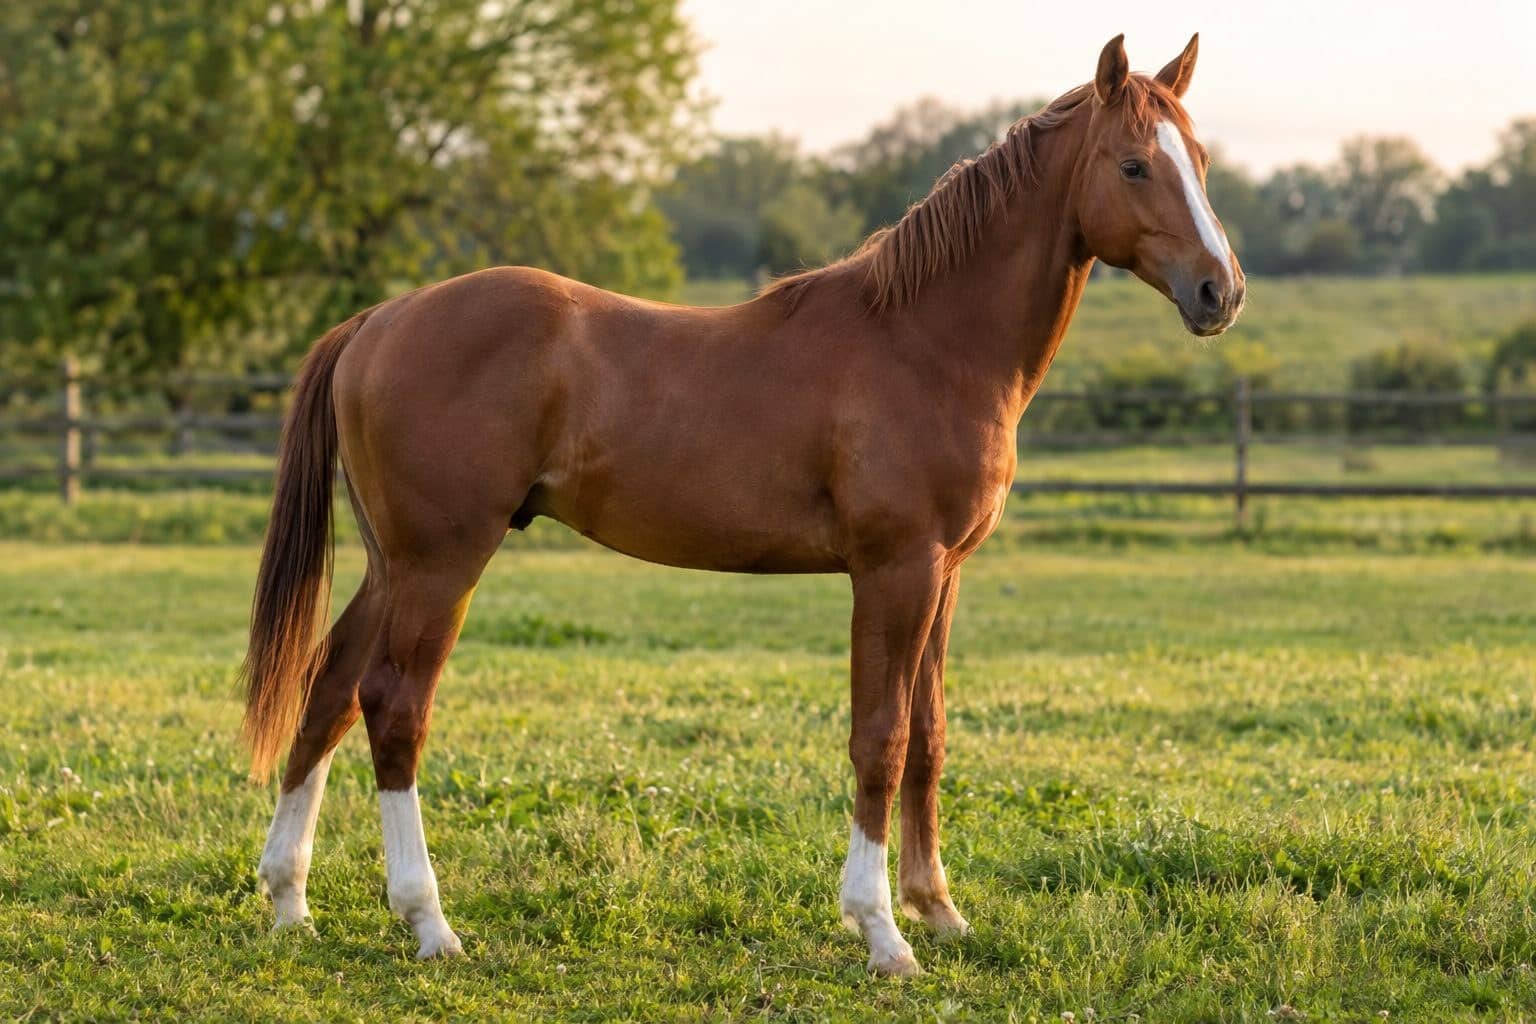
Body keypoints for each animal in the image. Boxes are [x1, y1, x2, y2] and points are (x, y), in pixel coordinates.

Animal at [245, 33, 1244, 976]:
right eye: (1133, 164)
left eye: (1198, 157)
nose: (1220, 291)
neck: (926, 342)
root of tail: (379, 320)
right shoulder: (895, 571)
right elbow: (879, 739)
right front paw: (882, 931)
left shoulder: (945, 574)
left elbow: (928, 736)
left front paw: (939, 910)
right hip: (444, 562)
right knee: (393, 705)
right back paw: (428, 921)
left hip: (394, 563)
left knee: (329, 689)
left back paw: (291, 902)